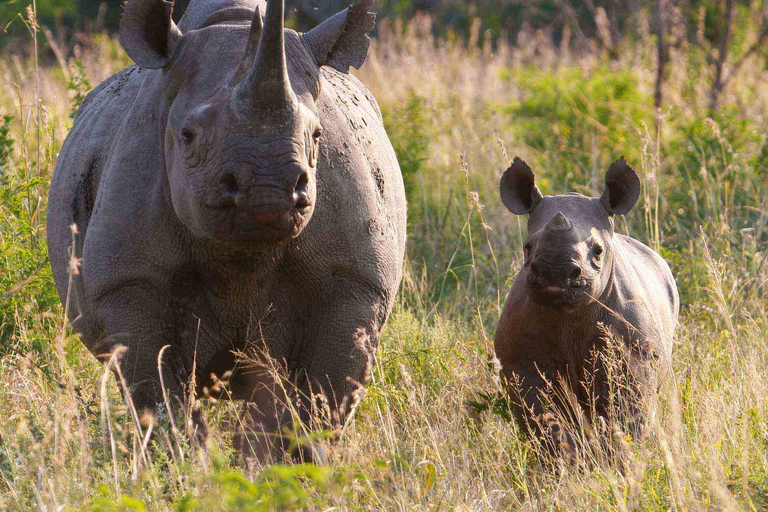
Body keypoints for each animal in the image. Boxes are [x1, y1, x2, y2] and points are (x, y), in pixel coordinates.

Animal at [46, 0, 408, 462]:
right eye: (187, 135)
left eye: (317, 135)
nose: (268, 189)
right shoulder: (130, 280)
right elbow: (159, 398)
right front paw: (185, 468)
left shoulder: (353, 277)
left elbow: (321, 400)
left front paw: (289, 468)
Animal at [492, 156, 680, 460]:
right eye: (527, 247)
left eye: (599, 251)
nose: (554, 271)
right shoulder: (522, 364)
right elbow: (546, 423)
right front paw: (564, 464)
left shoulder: (633, 359)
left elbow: (626, 418)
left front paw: (619, 462)